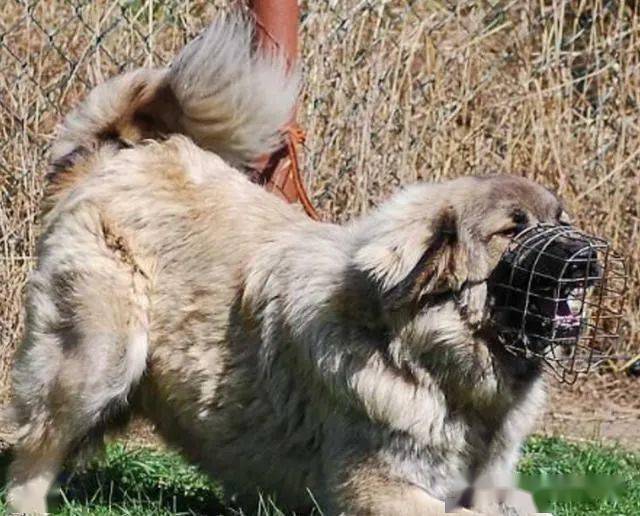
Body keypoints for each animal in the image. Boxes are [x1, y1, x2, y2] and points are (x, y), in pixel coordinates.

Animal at [1, 14, 592, 512]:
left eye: (560, 220)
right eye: (513, 229)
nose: (586, 256)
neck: (411, 349)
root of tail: (112, 158)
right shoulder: (385, 488)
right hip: (100, 356)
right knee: (36, 446)